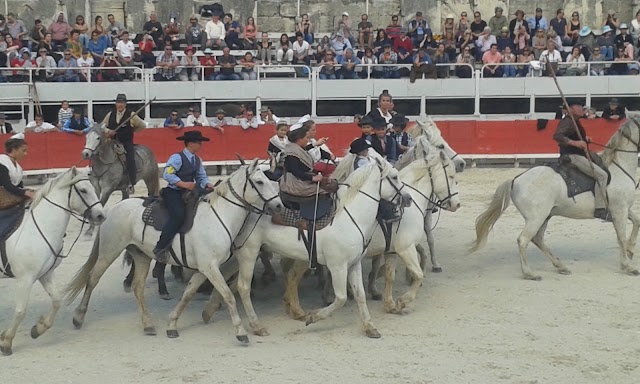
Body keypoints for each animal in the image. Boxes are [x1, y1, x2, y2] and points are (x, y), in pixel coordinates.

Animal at [0, 170, 104, 356]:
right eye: (83, 190)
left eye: (93, 188)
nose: (101, 215)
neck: (39, 228)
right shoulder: (25, 279)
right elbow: (20, 311)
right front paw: (6, 342)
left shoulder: (46, 274)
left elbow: (56, 301)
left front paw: (38, 329)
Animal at [65, 159, 282, 342]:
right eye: (259, 182)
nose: (279, 205)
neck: (219, 216)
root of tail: (114, 208)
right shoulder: (210, 267)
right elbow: (228, 295)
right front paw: (241, 332)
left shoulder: (203, 268)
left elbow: (188, 293)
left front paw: (172, 325)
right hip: (109, 252)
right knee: (92, 279)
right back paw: (78, 318)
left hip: (141, 255)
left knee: (137, 287)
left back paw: (148, 325)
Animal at [208, 158, 412, 338]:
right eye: (394, 177)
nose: (408, 198)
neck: (349, 217)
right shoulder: (337, 267)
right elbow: (340, 298)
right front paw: (313, 317)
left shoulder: (354, 265)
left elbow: (360, 295)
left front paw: (370, 327)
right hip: (248, 254)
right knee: (242, 286)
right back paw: (254, 325)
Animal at [470, 117, 640, 280]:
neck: (619, 168)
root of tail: (515, 180)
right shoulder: (619, 210)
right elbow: (621, 237)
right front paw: (628, 266)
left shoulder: (623, 209)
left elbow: (636, 221)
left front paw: (631, 250)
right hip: (536, 218)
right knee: (523, 240)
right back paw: (530, 273)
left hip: (545, 216)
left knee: (537, 239)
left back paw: (561, 266)